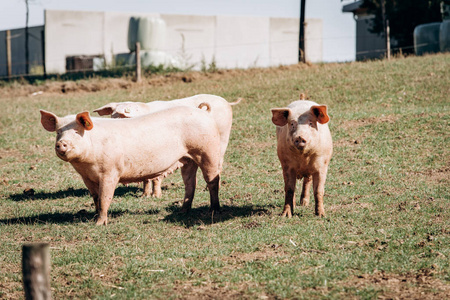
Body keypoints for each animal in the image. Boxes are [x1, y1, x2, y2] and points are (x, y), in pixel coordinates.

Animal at [40, 105, 221, 225]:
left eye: (77, 132)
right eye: (58, 132)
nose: (61, 143)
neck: (87, 164)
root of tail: (204, 112)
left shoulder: (110, 172)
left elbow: (105, 198)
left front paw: (99, 224)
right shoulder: (87, 178)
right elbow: (96, 198)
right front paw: (94, 218)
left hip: (208, 151)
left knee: (212, 180)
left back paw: (214, 210)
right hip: (187, 160)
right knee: (190, 183)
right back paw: (183, 211)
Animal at [93, 94, 241, 197]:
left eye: (124, 115)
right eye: (112, 115)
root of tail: (226, 102)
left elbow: (156, 177)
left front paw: (156, 196)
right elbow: (146, 177)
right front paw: (144, 195)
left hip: (222, 138)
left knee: (218, 164)